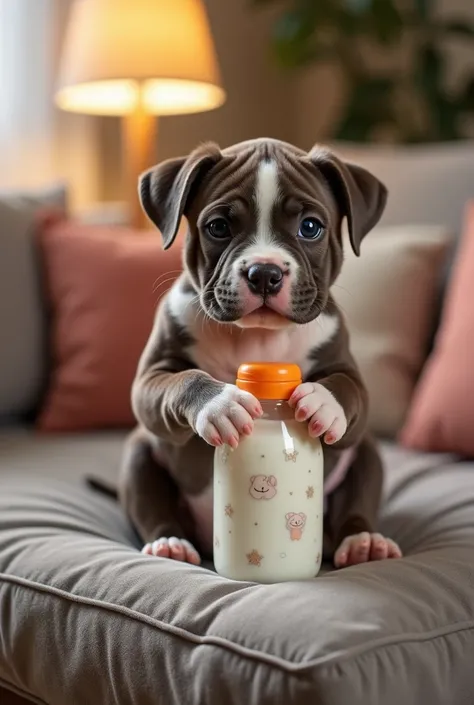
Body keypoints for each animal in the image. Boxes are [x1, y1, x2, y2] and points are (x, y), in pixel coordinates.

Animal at [120, 139, 402, 572]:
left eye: (310, 227)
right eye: (218, 227)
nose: (265, 272)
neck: (257, 338)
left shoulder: (346, 367)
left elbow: (349, 387)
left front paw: (322, 402)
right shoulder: (151, 378)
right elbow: (179, 380)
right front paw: (220, 404)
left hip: (368, 454)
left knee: (358, 502)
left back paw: (363, 543)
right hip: (138, 455)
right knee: (152, 505)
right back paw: (170, 543)